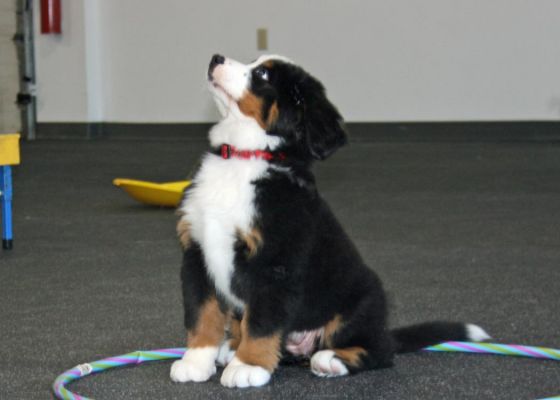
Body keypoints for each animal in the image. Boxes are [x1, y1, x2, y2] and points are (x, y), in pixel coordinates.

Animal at [171, 54, 490, 388]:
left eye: (262, 75)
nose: (216, 58)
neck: (243, 158)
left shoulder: (275, 263)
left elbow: (261, 323)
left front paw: (249, 365)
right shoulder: (197, 253)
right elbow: (202, 314)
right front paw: (195, 360)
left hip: (359, 302)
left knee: (380, 351)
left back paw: (330, 359)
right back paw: (232, 346)